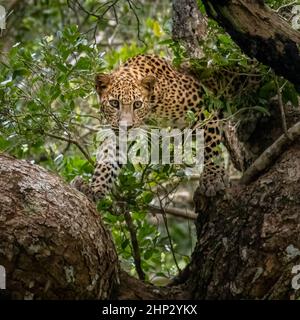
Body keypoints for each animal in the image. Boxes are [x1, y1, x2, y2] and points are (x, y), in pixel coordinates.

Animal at [72, 53, 260, 201]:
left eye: (137, 104)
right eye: (114, 103)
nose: (127, 126)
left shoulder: (203, 107)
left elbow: (210, 144)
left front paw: (212, 178)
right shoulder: (117, 133)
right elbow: (107, 158)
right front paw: (94, 189)